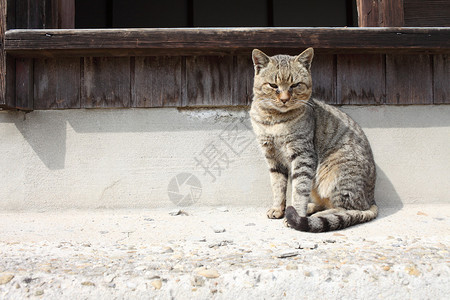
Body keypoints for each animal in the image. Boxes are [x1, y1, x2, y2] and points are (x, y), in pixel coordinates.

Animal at [251, 48, 378, 232]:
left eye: (295, 85)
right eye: (273, 85)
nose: (284, 99)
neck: (274, 120)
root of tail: (371, 198)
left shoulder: (303, 155)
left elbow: (299, 189)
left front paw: (295, 214)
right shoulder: (273, 158)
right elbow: (278, 186)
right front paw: (278, 208)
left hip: (335, 173)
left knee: (347, 209)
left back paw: (308, 216)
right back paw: (307, 209)